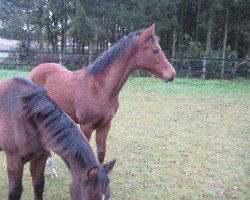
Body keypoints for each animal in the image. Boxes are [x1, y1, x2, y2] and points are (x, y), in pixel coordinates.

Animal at [28, 24, 175, 166]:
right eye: (155, 50)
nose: (172, 74)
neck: (101, 88)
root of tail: (35, 70)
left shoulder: (105, 125)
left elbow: (101, 152)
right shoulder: (85, 126)